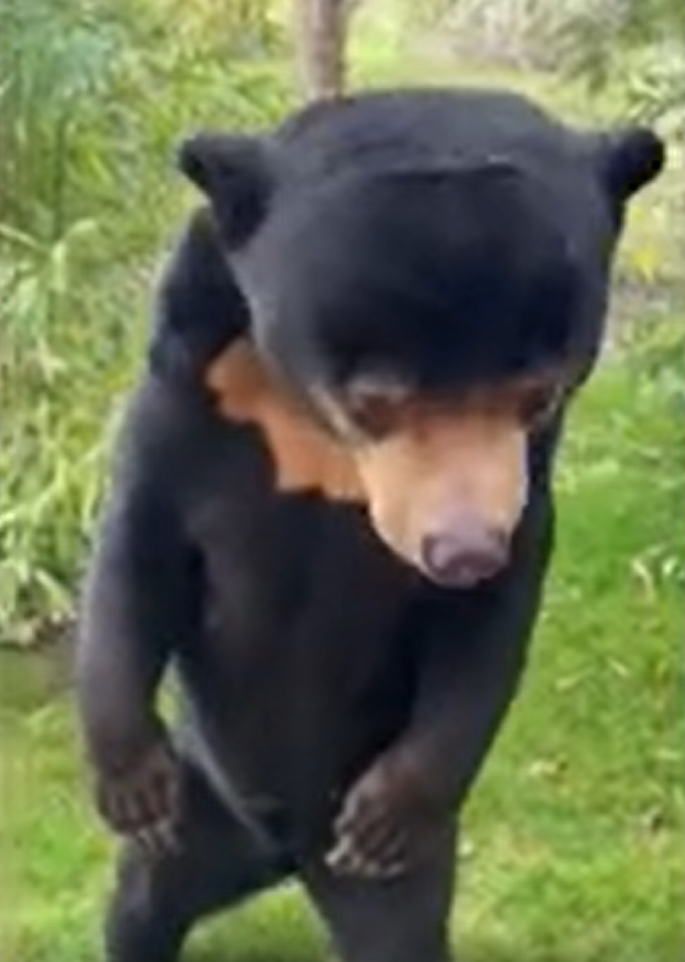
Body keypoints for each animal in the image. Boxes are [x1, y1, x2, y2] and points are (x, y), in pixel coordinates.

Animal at [75, 87, 664, 962]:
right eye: (374, 400)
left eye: (538, 393)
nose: (460, 551)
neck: (305, 420)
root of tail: (280, 856)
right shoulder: (186, 388)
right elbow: (137, 551)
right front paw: (131, 782)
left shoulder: (526, 482)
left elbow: (491, 624)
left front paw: (392, 810)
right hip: (200, 812)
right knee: (142, 902)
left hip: (382, 880)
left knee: (397, 929)